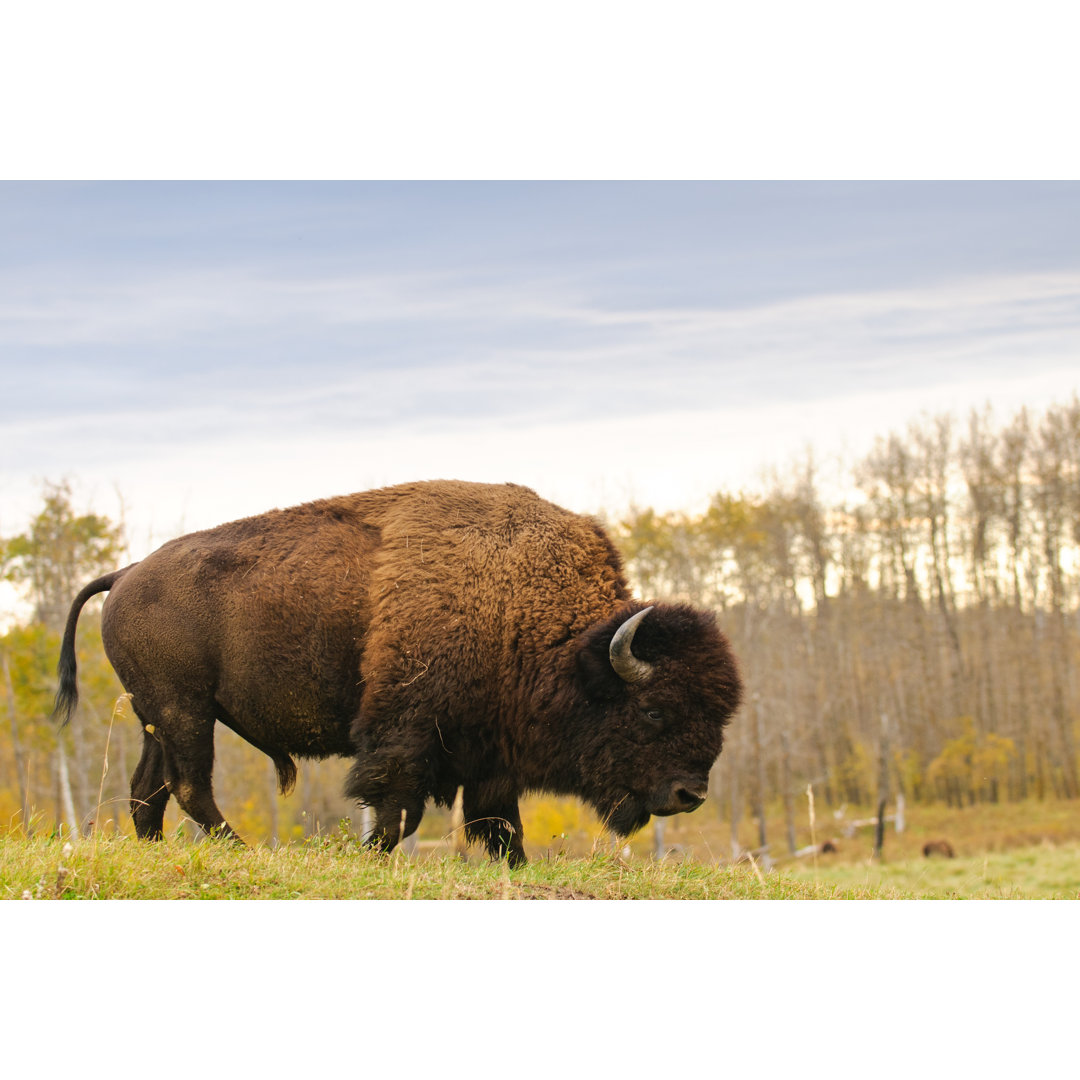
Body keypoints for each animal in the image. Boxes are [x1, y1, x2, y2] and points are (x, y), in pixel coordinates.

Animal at [52, 477, 743, 864]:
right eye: (652, 709)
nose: (691, 795)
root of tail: (126, 573)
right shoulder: (408, 732)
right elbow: (396, 807)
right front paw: (374, 856)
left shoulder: (488, 751)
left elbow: (498, 823)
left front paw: (515, 866)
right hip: (185, 711)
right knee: (190, 786)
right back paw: (239, 850)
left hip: (157, 717)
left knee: (148, 790)